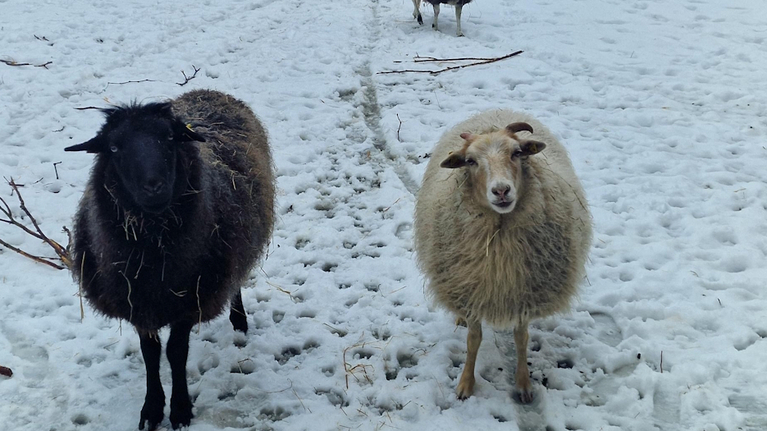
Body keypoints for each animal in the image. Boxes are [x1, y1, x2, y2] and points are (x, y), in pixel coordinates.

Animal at [65, 89, 275, 430]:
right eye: (114, 147)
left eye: (169, 138)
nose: (154, 187)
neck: (152, 256)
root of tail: (207, 91)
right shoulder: (137, 301)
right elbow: (150, 352)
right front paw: (152, 408)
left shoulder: (189, 299)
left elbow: (176, 352)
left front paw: (179, 409)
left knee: (236, 281)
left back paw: (239, 320)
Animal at [413, 109, 592, 403]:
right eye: (470, 161)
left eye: (517, 153)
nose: (501, 190)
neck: (499, 236)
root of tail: (492, 111)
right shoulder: (473, 289)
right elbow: (473, 339)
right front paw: (465, 384)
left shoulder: (524, 294)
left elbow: (522, 338)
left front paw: (523, 385)